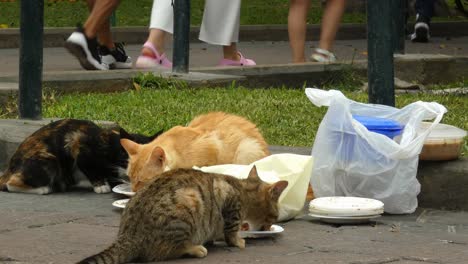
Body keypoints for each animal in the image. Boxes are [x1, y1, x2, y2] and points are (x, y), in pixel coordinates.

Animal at [0, 118, 163, 195]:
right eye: (129, 154)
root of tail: (10, 168)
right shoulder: (78, 144)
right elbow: (90, 168)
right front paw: (101, 186)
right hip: (49, 160)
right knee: (10, 184)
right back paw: (44, 189)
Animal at [78, 166, 288, 262]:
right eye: (274, 216)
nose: (269, 226)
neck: (243, 189)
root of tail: (127, 236)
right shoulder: (230, 205)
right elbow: (231, 231)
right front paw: (237, 241)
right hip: (189, 202)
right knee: (165, 251)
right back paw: (195, 248)